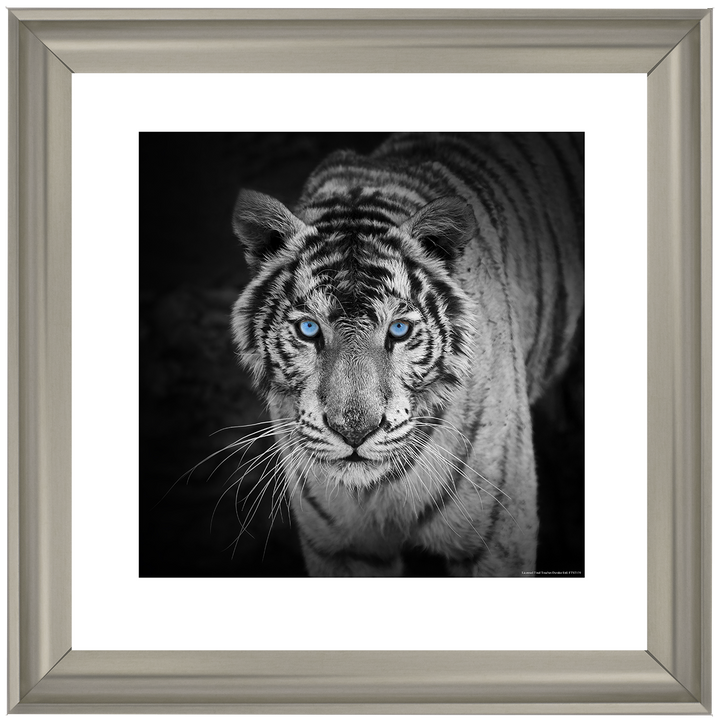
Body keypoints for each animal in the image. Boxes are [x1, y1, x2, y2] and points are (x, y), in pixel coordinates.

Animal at [230, 132, 583, 577]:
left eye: (398, 330)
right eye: (309, 329)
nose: (354, 432)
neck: (376, 491)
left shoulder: (495, 540)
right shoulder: (342, 548)